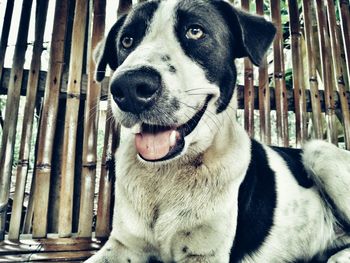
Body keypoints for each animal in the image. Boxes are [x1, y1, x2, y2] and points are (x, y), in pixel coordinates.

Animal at [85, 1, 350, 262]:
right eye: (127, 40)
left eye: (195, 31)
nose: (129, 86)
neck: (166, 173)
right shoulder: (123, 245)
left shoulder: (204, 255)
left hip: (319, 153)